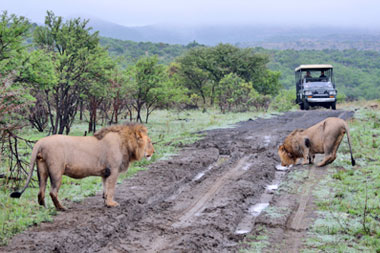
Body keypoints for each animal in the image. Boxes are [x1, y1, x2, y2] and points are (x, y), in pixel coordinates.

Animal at [11, 123, 155, 211]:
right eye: (149, 142)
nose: (153, 152)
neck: (126, 143)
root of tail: (40, 141)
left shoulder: (105, 172)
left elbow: (105, 189)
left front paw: (105, 202)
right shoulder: (113, 171)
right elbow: (111, 189)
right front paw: (111, 204)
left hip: (42, 169)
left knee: (41, 192)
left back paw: (45, 208)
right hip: (56, 170)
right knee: (52, 192)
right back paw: (61, 208)